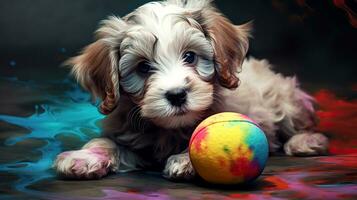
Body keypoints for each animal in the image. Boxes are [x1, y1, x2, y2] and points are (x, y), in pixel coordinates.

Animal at [52, 0, 328, 180]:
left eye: (190, 56)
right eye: (143, 67)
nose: (176, 95)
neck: (171, 129)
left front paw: (187, 158)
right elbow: (105, 141)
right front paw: (84, 157)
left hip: (285, 98)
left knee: (297, 123)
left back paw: (306, 141)